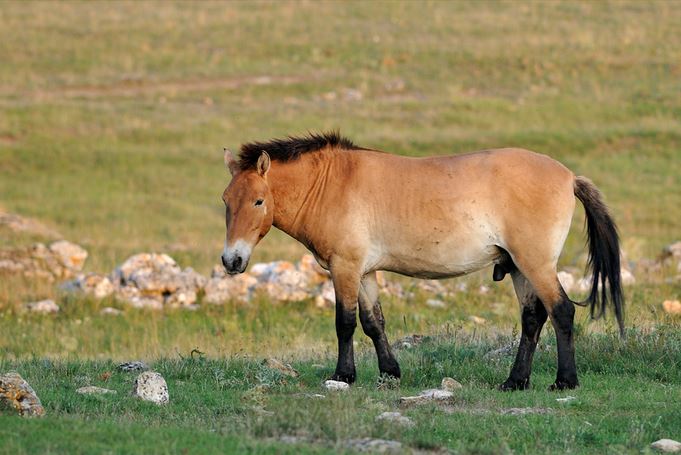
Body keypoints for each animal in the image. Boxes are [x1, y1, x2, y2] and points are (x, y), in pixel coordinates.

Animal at [220, 132, 624, 392]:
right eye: (226, 200)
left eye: (258, 200)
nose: (231, 260)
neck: (331, 184)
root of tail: (569, 176)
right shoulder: (365, 272)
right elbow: (373, 323)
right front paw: (389, 373)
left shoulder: (344, 268)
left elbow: (345, 323)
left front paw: (343, 376)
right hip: (519, 268)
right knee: (533, 318)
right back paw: (515, 381)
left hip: (535, 264)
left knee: (561, 311)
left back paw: (564, 381)